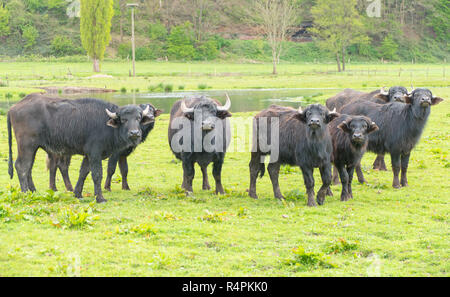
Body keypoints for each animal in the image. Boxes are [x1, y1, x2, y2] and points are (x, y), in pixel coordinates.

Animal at [7, 93, 154, 202]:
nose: (134, 133)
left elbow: (83, 172)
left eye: (138, 117)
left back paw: (33, 191)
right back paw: (25, 193)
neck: (106, 125)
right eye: (123, 119)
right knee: (21, 166)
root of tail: (13, 107)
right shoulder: (95, 153)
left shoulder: (88, 155)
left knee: (29, 168)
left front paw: (78, 194)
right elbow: (97, 174)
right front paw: (100, 198)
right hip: (26, 145)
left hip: (33, 148)